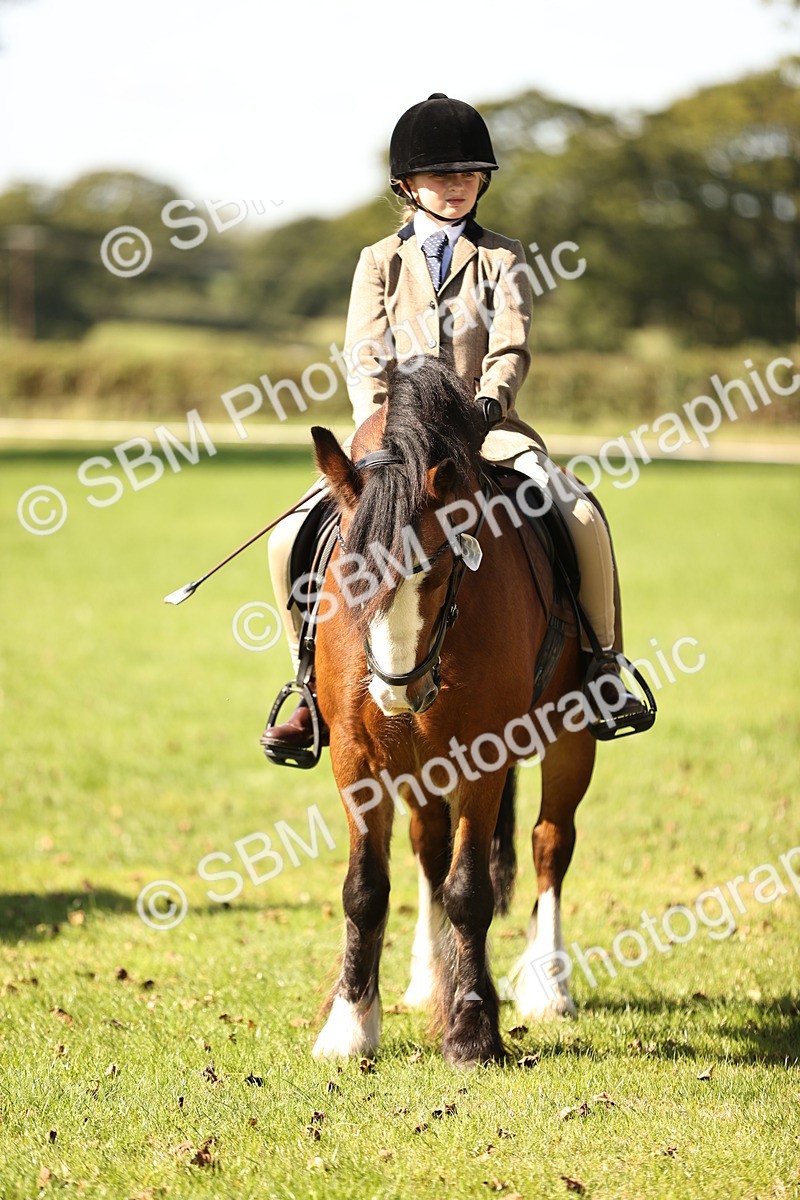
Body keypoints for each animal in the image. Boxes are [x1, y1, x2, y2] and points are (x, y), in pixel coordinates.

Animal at [308, 359, 598, 1066]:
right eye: (351, 575)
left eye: (436, 575)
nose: (397, 692)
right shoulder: (358, 754)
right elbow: (366, 888)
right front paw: (351, 1025)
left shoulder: (484, 752)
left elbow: (471, 890)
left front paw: (472, 1031)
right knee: (427, 846)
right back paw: (427, 976)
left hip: (570, 737)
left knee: (550, 843)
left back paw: (548, 985)